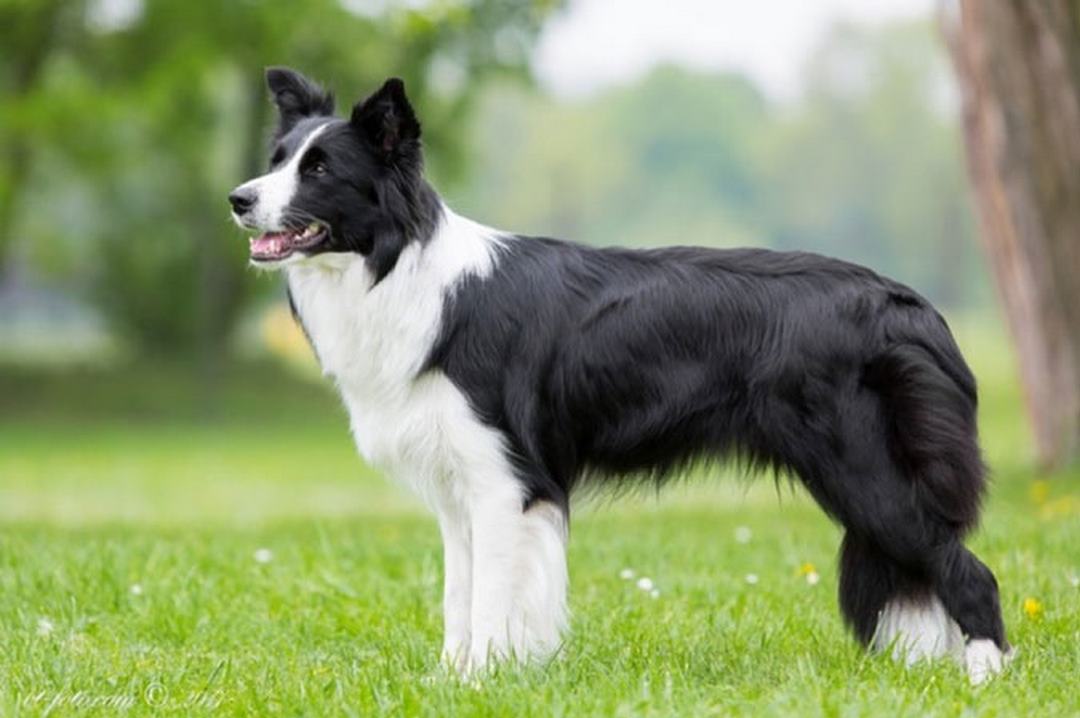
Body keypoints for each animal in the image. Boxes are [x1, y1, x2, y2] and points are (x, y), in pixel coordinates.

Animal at [230, 68, 1010, 682]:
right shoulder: (459, 489)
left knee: (969, 572)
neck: (400, 269)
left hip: (865, 470)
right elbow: (460, 594)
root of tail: (908, 305)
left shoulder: (506, 481)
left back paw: (984, 678)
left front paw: (487, 678)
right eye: (277, 160)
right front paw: (453, 680)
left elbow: (492, 598)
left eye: (320, 171)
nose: (238, 198)